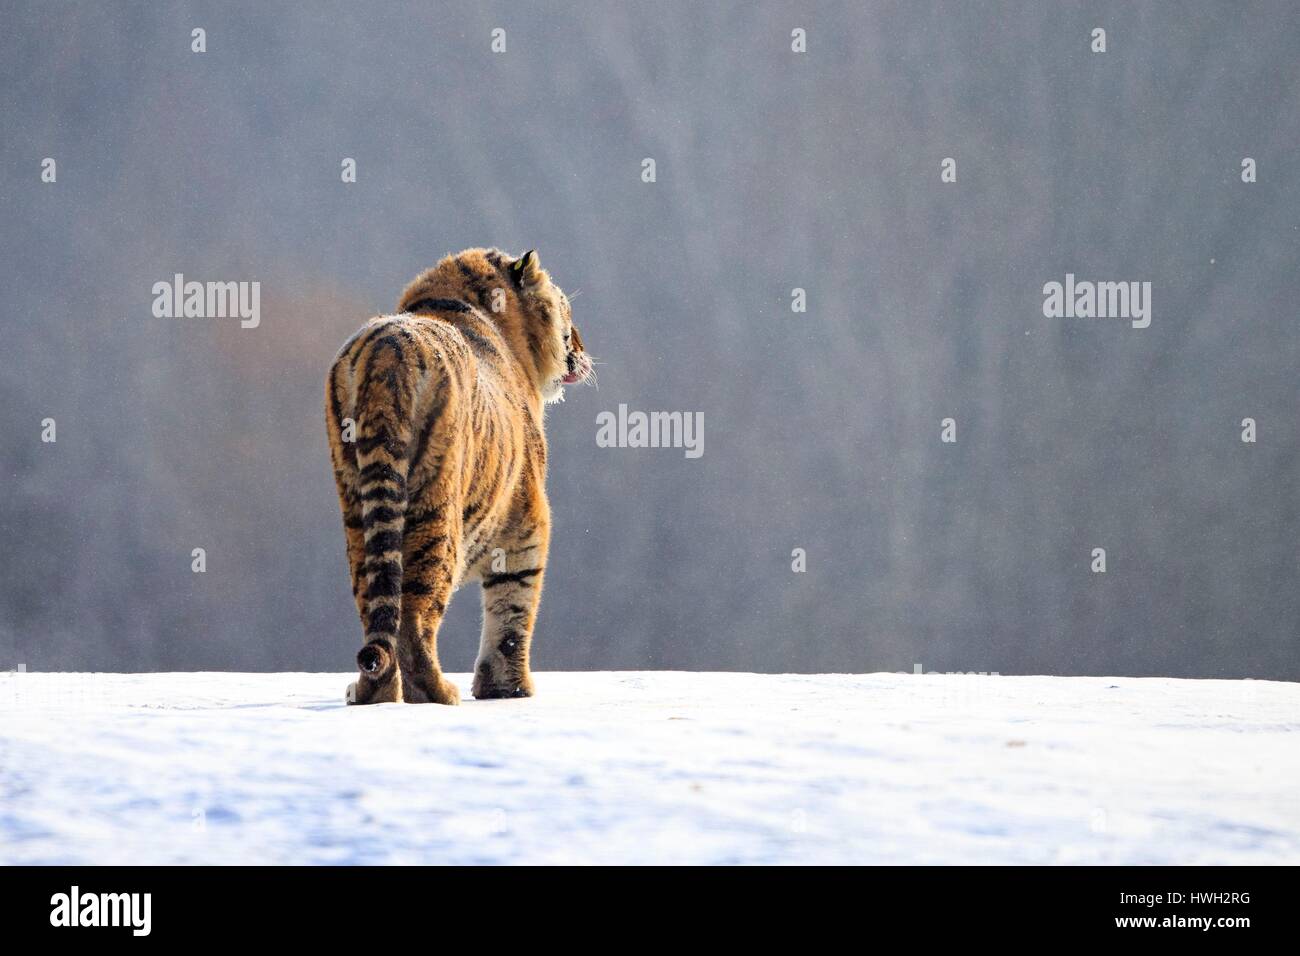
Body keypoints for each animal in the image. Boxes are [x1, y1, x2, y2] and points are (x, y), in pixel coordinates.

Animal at [327, 251, 592, 707]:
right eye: (565, 311)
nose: (581, 347)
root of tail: (386, 351)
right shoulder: (527, 522)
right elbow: (513, 609)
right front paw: (510, 690)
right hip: (437, 513)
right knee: (415, 618)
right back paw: (439, 693)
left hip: (357, 513)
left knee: (375, 608)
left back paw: (372, 695)